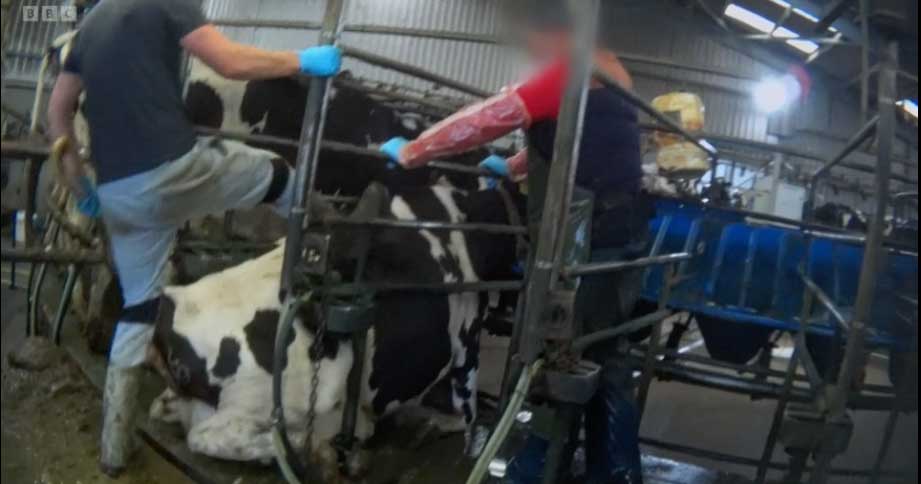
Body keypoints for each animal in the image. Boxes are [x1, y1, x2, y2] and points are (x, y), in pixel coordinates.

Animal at [146, 180, 524, 473]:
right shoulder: (467, 335)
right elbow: (468, 405)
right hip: (268, 399)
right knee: (211, 437)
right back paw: (324, 448)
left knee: (173, 416)